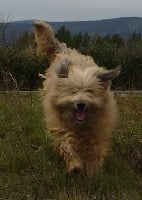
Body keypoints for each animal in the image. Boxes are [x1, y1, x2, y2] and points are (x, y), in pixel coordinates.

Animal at [33, 20, 120, 177]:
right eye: (73, 91)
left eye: (90, 91)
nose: (81, 104)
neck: (81, 125)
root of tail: (64, 50)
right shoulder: (60, 126)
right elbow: (67, 142)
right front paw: (75, 166)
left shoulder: (98, 129)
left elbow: (94, 149)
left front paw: (92, 171)